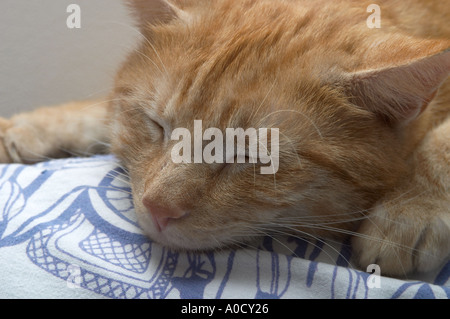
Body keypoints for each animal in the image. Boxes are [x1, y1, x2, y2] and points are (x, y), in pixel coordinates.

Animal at [0, 0, 450, 278]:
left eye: (253, 158)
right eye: (156, 125)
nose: (158, 209)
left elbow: (441, 143)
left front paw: (413, 210)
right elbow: (98, 112)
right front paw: (29, 126)